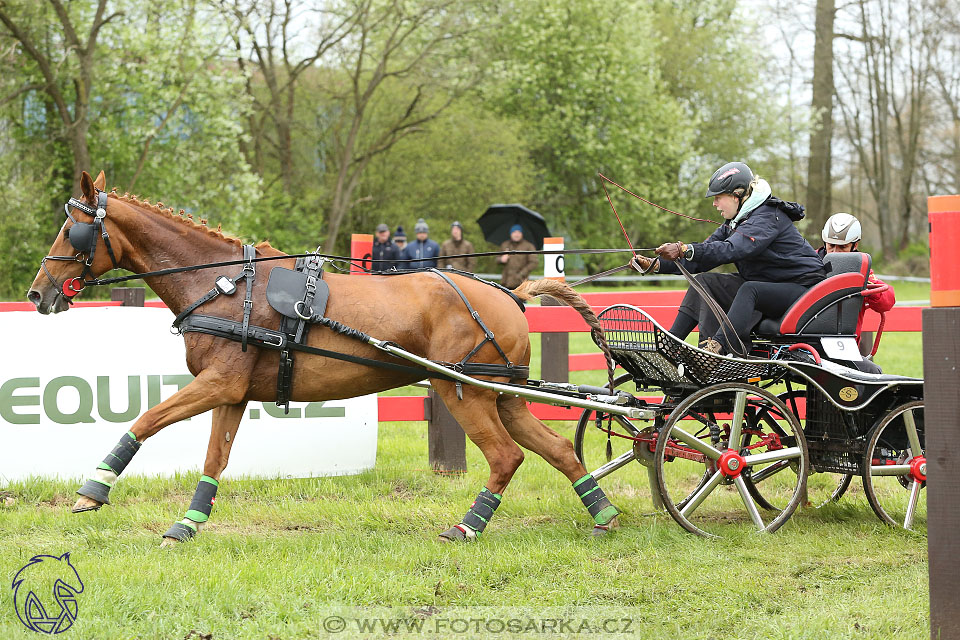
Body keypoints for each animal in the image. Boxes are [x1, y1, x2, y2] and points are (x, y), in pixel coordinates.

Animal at [30, 171, 620, 544]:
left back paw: (468, 526)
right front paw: (188, 524)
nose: (39, 293)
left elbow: (146, 419)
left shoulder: (217, 384)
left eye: (71, 230)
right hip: (503, 394)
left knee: (505, 457)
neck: (226, 286)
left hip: (464, 392)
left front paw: (93, 490)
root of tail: (512, 296)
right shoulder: (232, 393)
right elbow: (214, 459)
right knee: (557, 450)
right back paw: (604, 514)